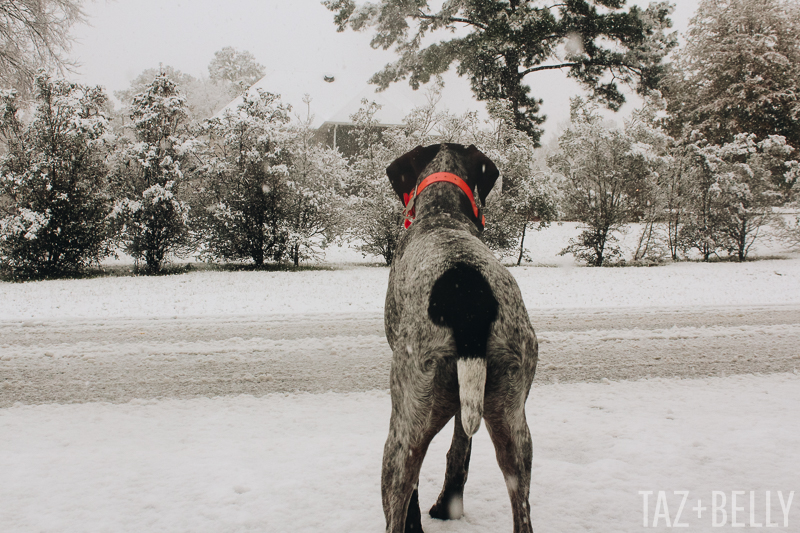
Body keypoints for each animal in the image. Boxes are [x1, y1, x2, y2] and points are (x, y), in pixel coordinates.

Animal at [382, 142, 536, 532]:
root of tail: (469, 303)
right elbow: (460, 448)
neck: (443, 212)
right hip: (514, 425)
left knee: (399, 496)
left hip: (404, 430)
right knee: (522, 509)